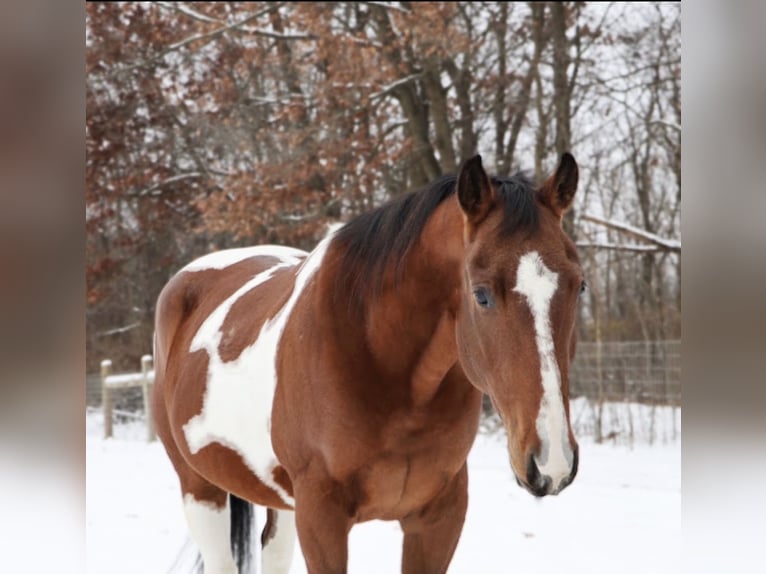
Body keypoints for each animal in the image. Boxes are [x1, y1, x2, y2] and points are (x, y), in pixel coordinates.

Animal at [152, 152, 583, 574]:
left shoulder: (438, 518)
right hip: (200, 488)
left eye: (579, 285)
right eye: (481, 295)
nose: (552, 460)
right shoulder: (321, 517)